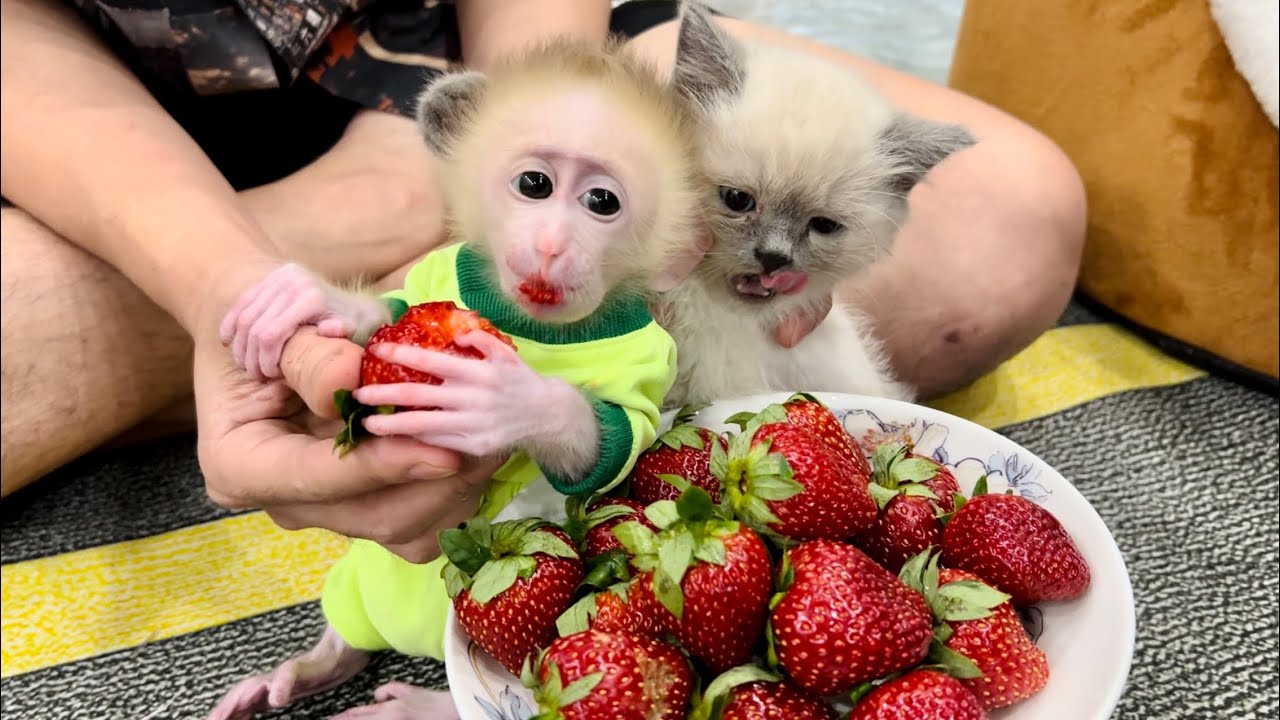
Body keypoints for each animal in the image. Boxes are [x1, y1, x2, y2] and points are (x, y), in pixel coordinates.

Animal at [207, 36, 703, 720]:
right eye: (534, 184)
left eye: (602, 202)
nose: (551, 246)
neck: (536, 323)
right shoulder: (438, 276)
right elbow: (395, 311)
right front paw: (317, 300)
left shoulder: (652, 357)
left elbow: (612, 451)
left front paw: (510, 400)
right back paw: (319, 664)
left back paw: (425, 702)